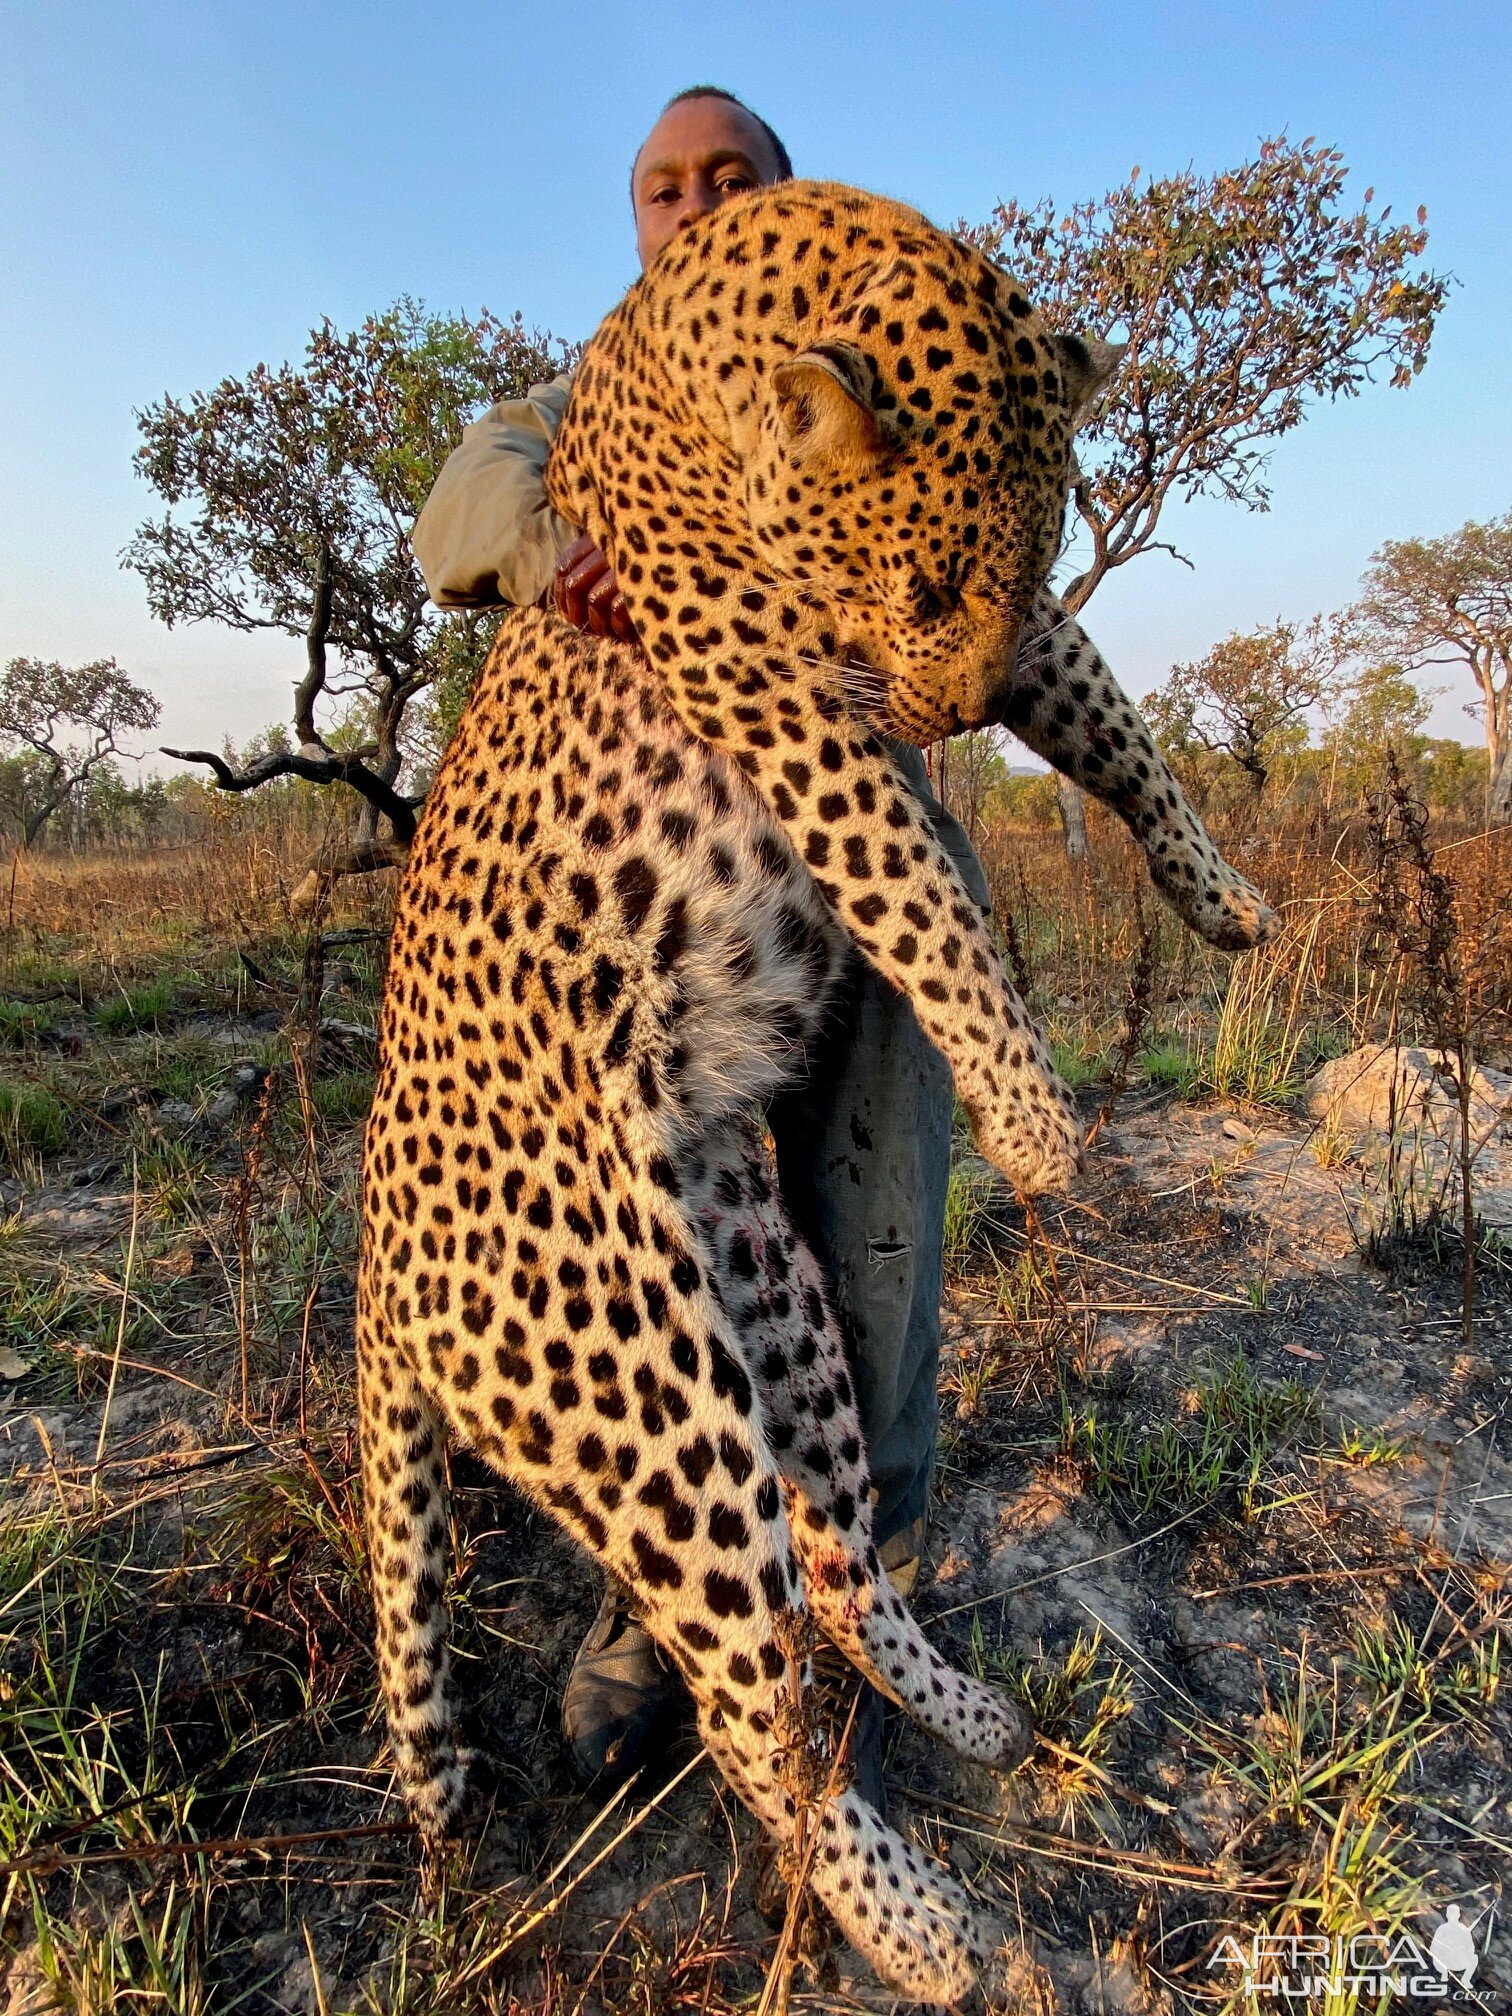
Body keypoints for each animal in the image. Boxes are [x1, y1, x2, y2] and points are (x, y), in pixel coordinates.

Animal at [364, 181, 1282, 2007]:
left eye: (1019, 565)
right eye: (922, 573)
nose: (951, 707)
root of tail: (369, 1260)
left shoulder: (1009, 649)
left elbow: (1120, 730)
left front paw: (1219, 901)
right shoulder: (776, 693)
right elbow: (918, 883)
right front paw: (1034, 1116)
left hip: (767, 1290)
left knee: (840, 1572)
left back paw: (972, 1719)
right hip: (642, 1386)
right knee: (746, 1707)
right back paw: (932, 1931)